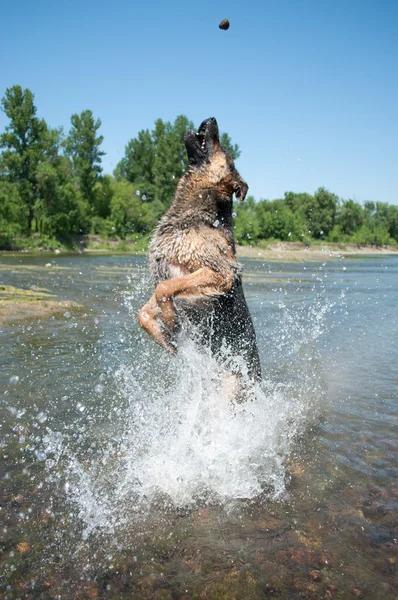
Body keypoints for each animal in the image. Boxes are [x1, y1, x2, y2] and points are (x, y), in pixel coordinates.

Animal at [138, 118, 262, 394]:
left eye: (226, 153)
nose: (211, 119)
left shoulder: (218, 274)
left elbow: (166, 289)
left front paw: (172, 319)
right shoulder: (167, 271)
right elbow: (144, 312)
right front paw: (167, 339)